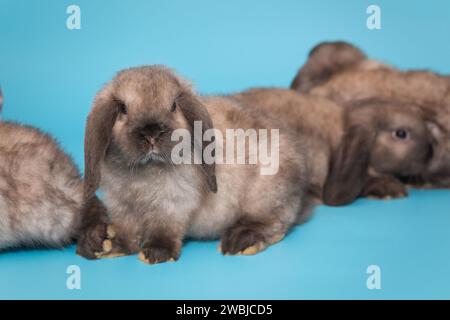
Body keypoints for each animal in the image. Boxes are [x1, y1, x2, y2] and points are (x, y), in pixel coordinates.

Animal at [77, 64, 312, 262]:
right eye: (123, 108)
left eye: (173, 105)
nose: (152, 132)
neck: (145, 172)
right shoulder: (121, 205)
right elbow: (127, 231)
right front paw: (110, 246)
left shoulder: (173, 202)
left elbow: (165, 228)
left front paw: (156, 253)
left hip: (266, 196)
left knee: (274, 224)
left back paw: (240, 242)